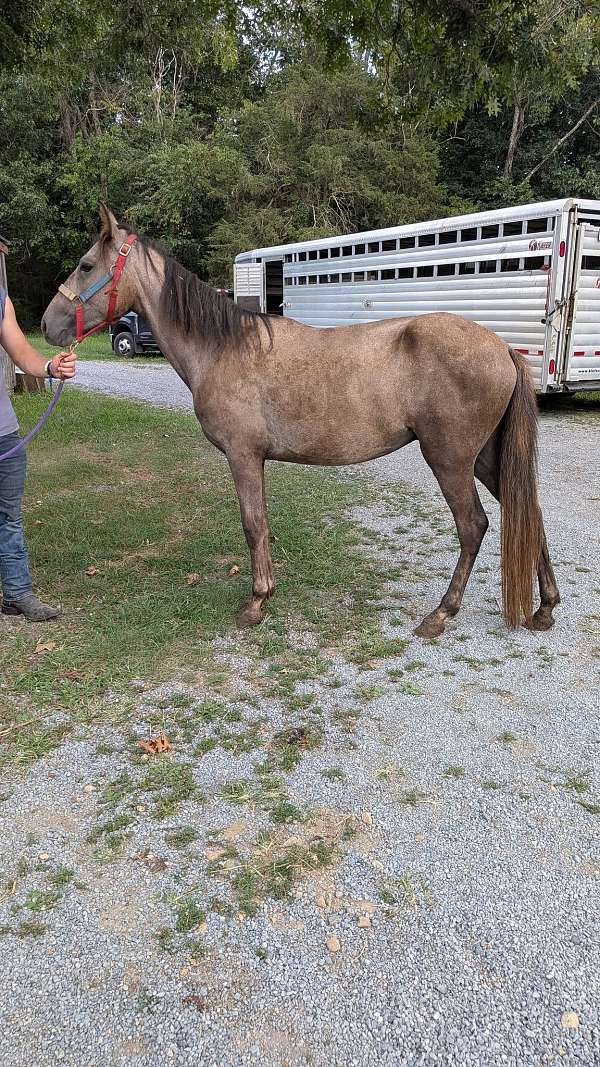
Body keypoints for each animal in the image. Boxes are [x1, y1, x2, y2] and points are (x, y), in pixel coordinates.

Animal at [42, 206, 560, 638]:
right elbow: (263, 523)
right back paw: (545, 608)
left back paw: (440, 614)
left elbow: (253, 524)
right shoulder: (255, 459)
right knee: (529, 513)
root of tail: (500, 347)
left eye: (85, 266)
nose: (48, 325)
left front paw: (256, 603)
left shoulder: (242, 455)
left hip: (450, 459)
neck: (224, 349)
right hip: (485, 457)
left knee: (474, 526)